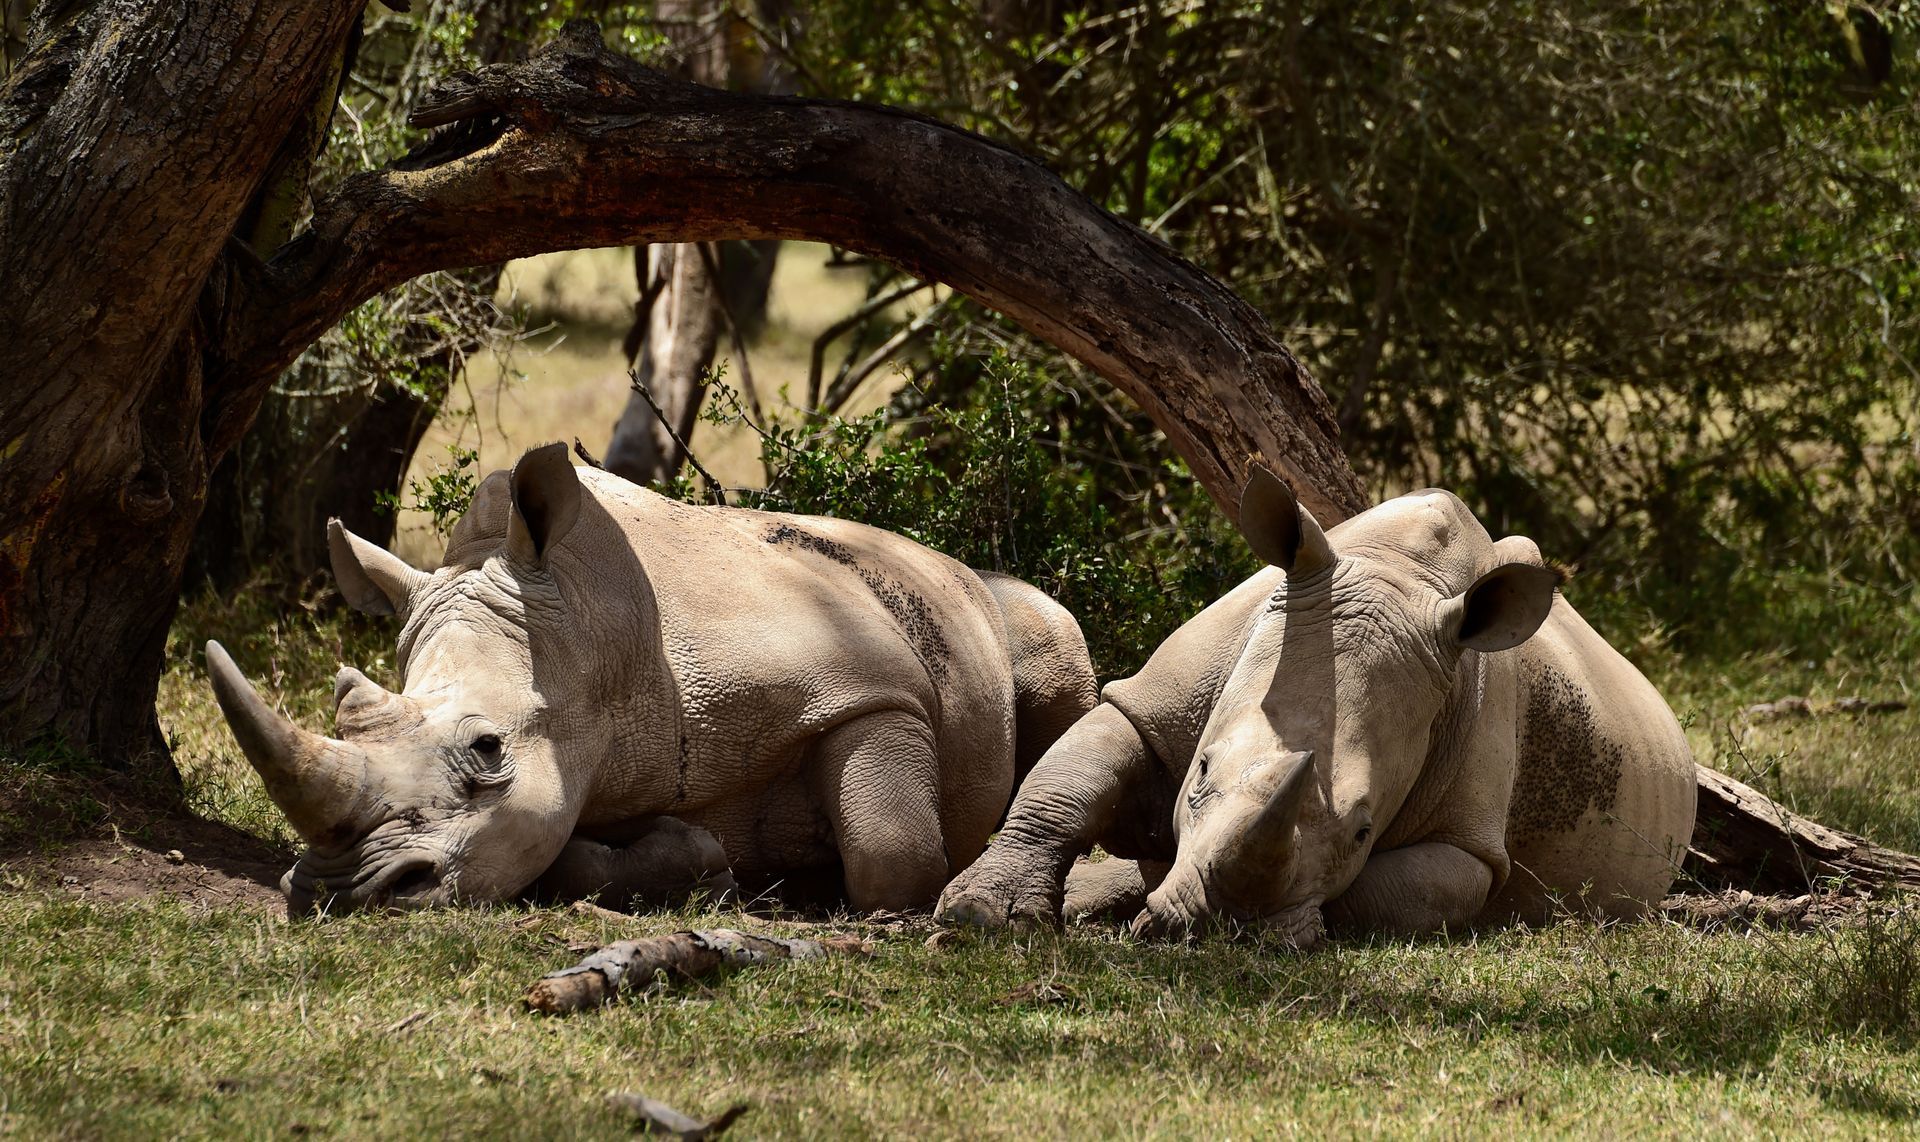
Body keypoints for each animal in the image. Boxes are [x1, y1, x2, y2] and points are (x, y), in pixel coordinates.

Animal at [207, 443, 1096, 915]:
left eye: (489, 748)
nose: (337, 891)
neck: (594, 639)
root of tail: (941, 557)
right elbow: (573, 854)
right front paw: (713, 861)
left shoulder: (869, 689)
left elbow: (893, 856)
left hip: (992, 611)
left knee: (1054, 644)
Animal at [938, 470, 1696, 942]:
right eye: (1202, 772)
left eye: (1363, 830)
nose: (1217, 925)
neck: (1398, 574)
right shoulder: (1158, 701)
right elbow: (1066, 780)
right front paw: (981, 916)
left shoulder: (1470, 841)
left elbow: (1384, 890)